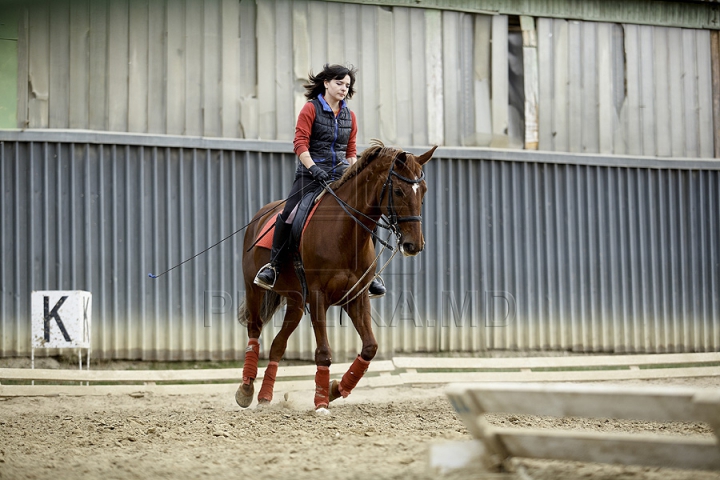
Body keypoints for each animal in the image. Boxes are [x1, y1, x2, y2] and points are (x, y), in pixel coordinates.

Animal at [239, 141, 436, 410]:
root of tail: (260, 216)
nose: (414, 245)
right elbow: (323, 352)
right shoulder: (318, 296)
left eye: (423, 191)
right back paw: (246, 390)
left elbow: (370, 348)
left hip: (296, 301)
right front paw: (322, 401)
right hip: (254, 289)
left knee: (278, 345)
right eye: (397, 191)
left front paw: (335, 389)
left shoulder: (356, 297)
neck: (344, 231)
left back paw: (265, 397)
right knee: (254, 330)